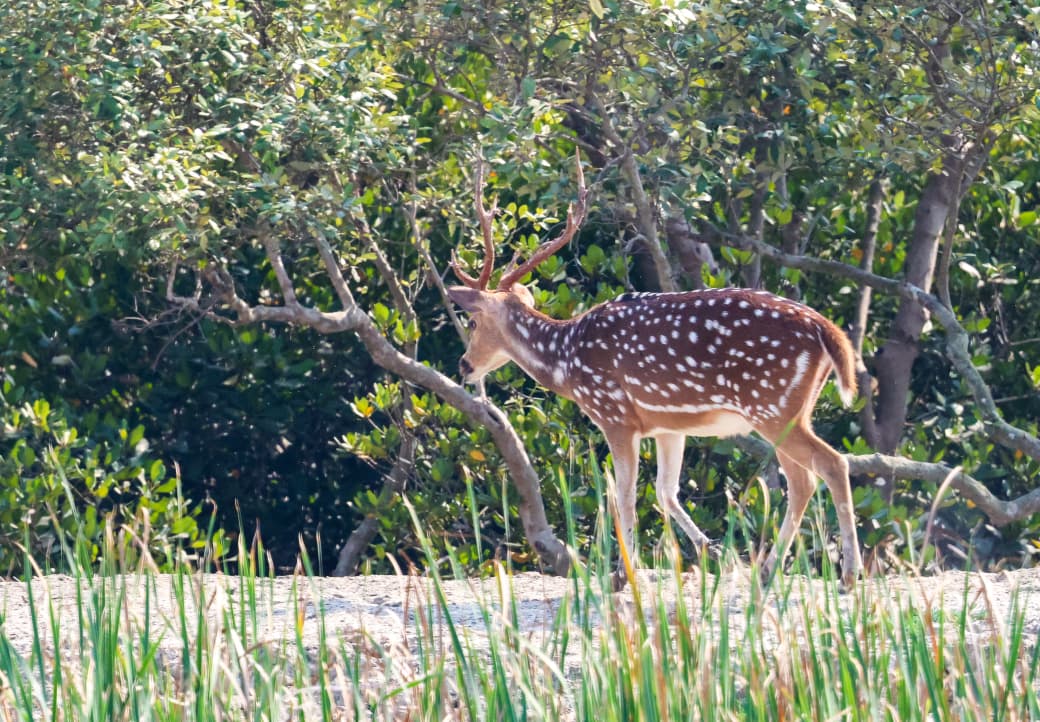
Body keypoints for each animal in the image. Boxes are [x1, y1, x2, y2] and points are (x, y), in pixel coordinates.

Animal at [447, 153, 863, 590]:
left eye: (472, 321)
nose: (464, 365)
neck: (566, 361)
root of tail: (826, 328)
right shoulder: (668, 425)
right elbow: (665, 491)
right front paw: (711, 551)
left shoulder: (615, 415)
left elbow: (624, 497)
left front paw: (623, 574)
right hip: (791, 408)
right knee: (805, 481)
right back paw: (768, 570)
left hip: (772, 404)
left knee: (828, 467)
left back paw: (846, 574)